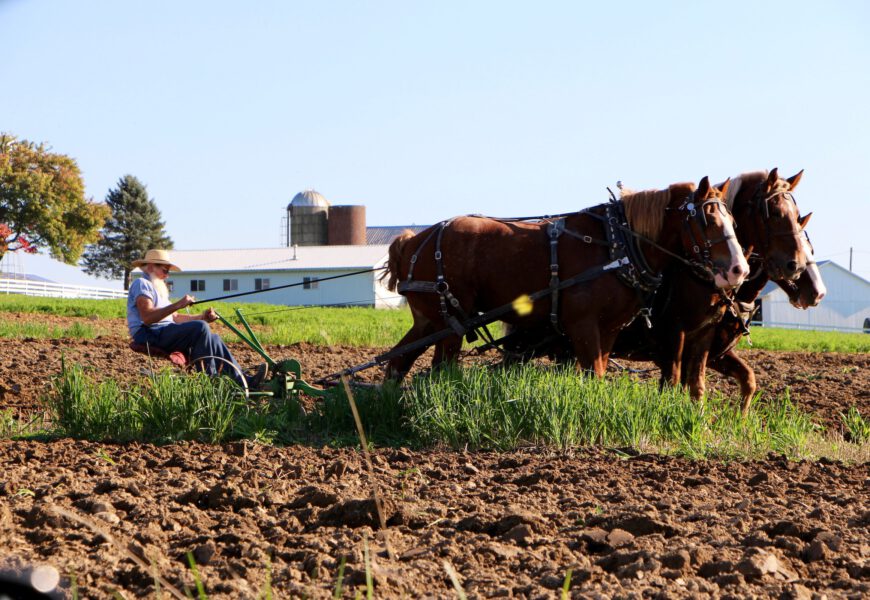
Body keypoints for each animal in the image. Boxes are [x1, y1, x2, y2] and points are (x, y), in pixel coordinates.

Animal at [386, 176, 748, 380]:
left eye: (732, 219)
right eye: (707, 219)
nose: (739, 269)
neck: (616, 244)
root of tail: (413, 241)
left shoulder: (609, 329)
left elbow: (597, 373)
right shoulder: (583, 325)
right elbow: (592, 374)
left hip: (428, 321)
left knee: (398, 360)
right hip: (449, 323)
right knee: (437, 368)